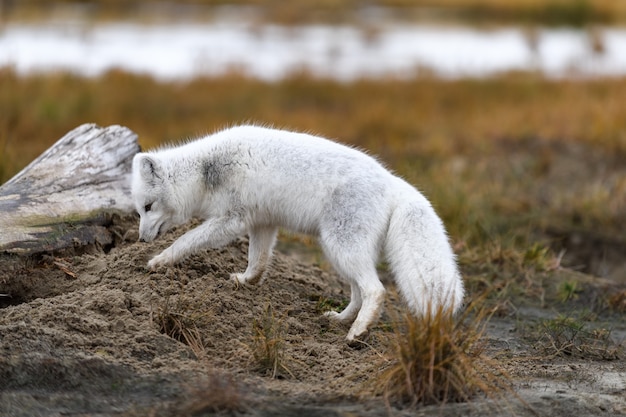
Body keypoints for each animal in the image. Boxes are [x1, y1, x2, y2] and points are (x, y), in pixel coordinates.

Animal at [132, 125, 464, 340]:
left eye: (148, 206)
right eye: (138, 210)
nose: (140, 239)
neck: (206, 170)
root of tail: (393, 181)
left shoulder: (231, 220)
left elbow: (186, 240)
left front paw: (159, 260)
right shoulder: (262, 223)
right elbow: (258, 260)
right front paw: (246, 281)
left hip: (341, 246)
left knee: (376, 290)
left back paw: (356, 332)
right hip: (340, 252)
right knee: (358, 292)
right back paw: (341, 319)